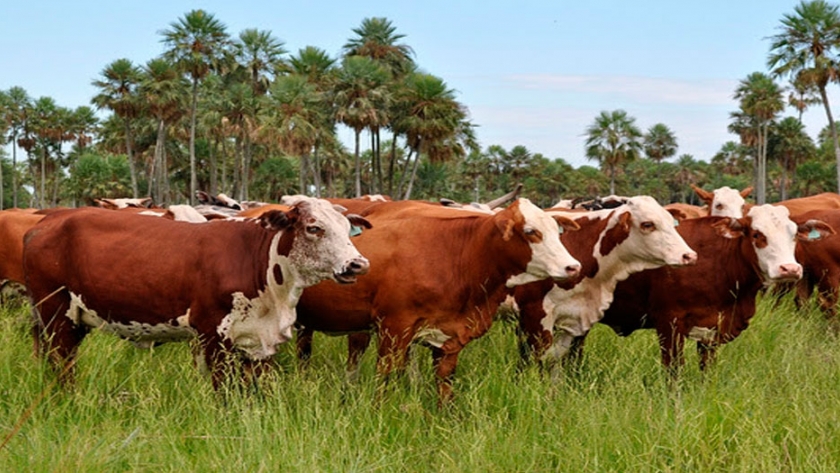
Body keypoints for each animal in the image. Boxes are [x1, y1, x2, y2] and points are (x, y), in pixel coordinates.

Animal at [22, 197, 372, 387]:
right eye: (314, 228)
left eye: (346, 228)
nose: (358, 264)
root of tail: (43, 224)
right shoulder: (214, 336)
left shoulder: (258, 343)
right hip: (56, 316)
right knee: (61, 366)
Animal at [293, 198, 583, 403]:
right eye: (531, 231)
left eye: (556, 231)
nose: (573, 266)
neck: (458, 254)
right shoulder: (393, 329)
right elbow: (385, 377)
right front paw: (379, 412)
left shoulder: (448, 338)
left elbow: (445, 385)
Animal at [589, 205, 831, 372]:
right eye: (757, 235)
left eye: (794, 235)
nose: (789, 268)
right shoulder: (669, 323)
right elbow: (673, 371)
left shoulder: (713, 328)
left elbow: (707, 369)